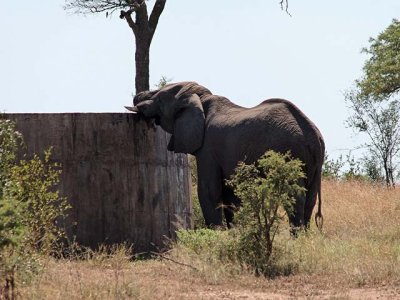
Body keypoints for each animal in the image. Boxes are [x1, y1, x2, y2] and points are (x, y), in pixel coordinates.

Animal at [125, 82, 324, 230]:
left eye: (159, 99)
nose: (138, 97)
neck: (201, 99)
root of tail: (313, 136)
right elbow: (230, 195)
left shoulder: (208, 148)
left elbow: (209, 191)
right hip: (314, 165)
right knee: (310, 199)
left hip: (289, 154)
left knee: (296, 196)